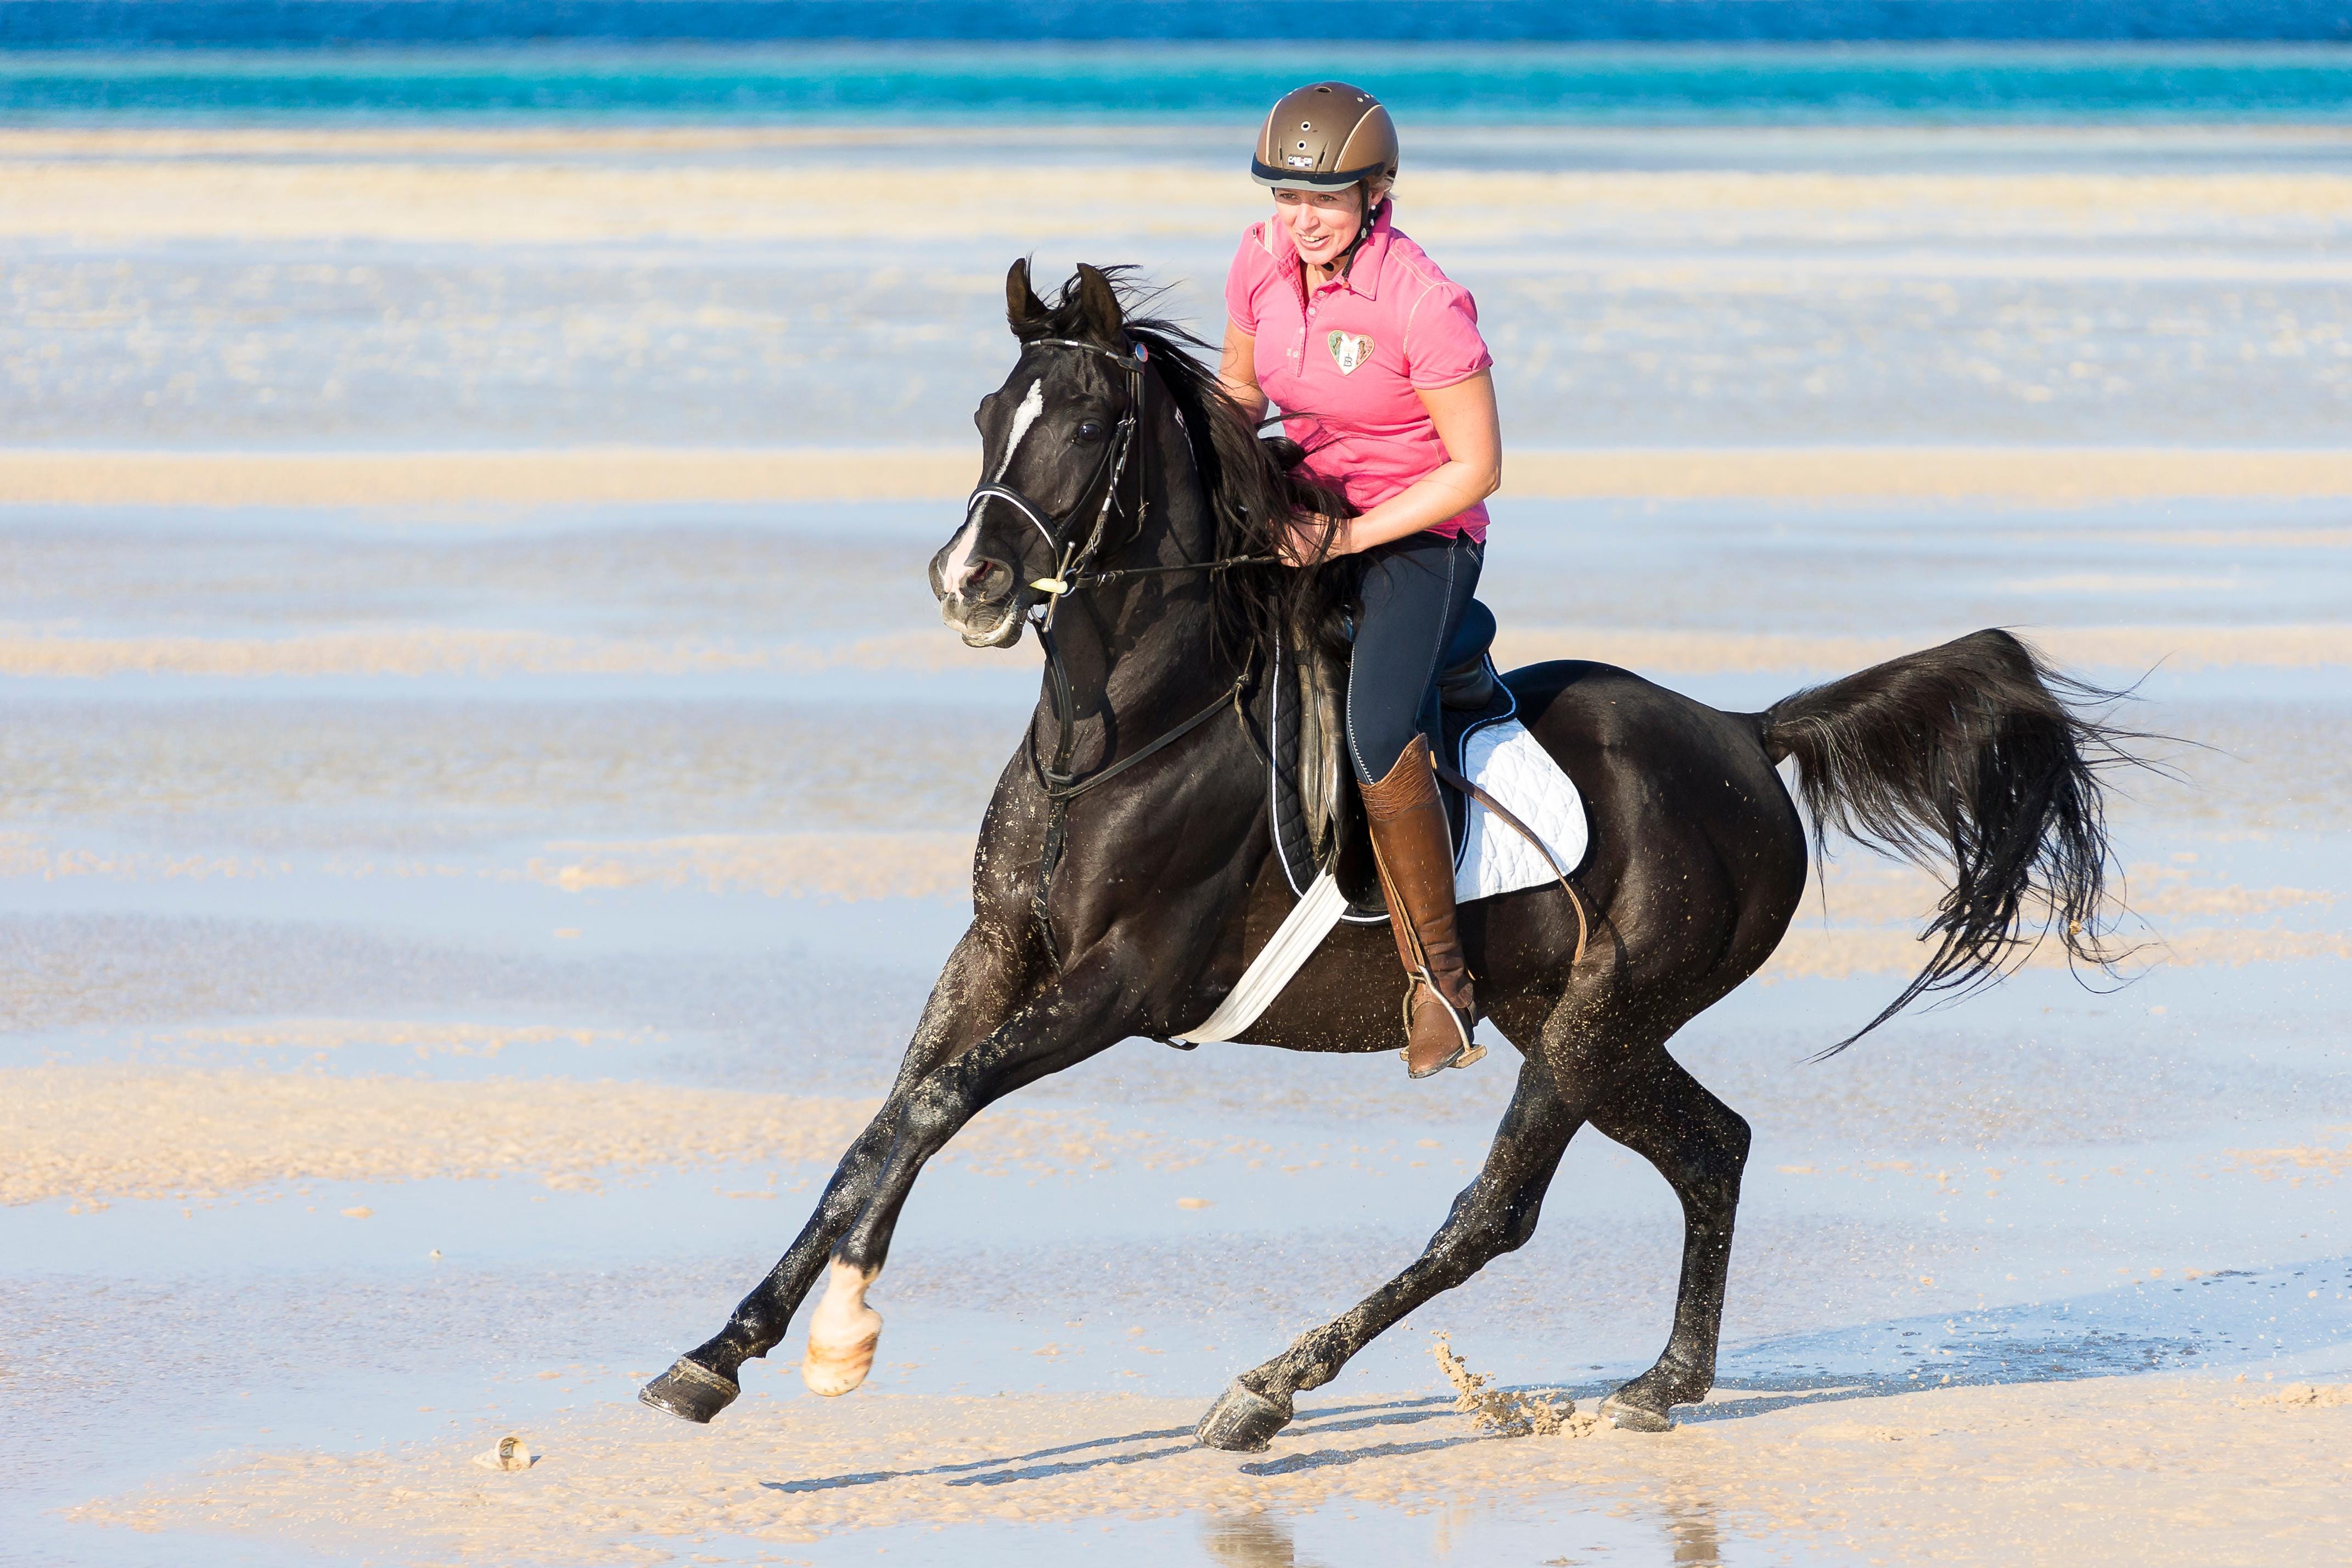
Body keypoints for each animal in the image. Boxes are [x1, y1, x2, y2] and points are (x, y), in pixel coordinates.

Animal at [638, 260, 2136, 1448]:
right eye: (983, 414)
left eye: (1087, 422)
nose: (972, 583)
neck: (1119, 734)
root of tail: (1742, 734)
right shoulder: (998, 950)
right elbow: (885, 1122)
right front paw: (744, 1346)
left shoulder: (1123, 981)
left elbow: (938, 1106)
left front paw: (822, 1338)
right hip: (1569, 1016)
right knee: (1713, 1148)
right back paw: (1661, 1385)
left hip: (1591, 1024)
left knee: (1498, 1211)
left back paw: (1268, 1389)